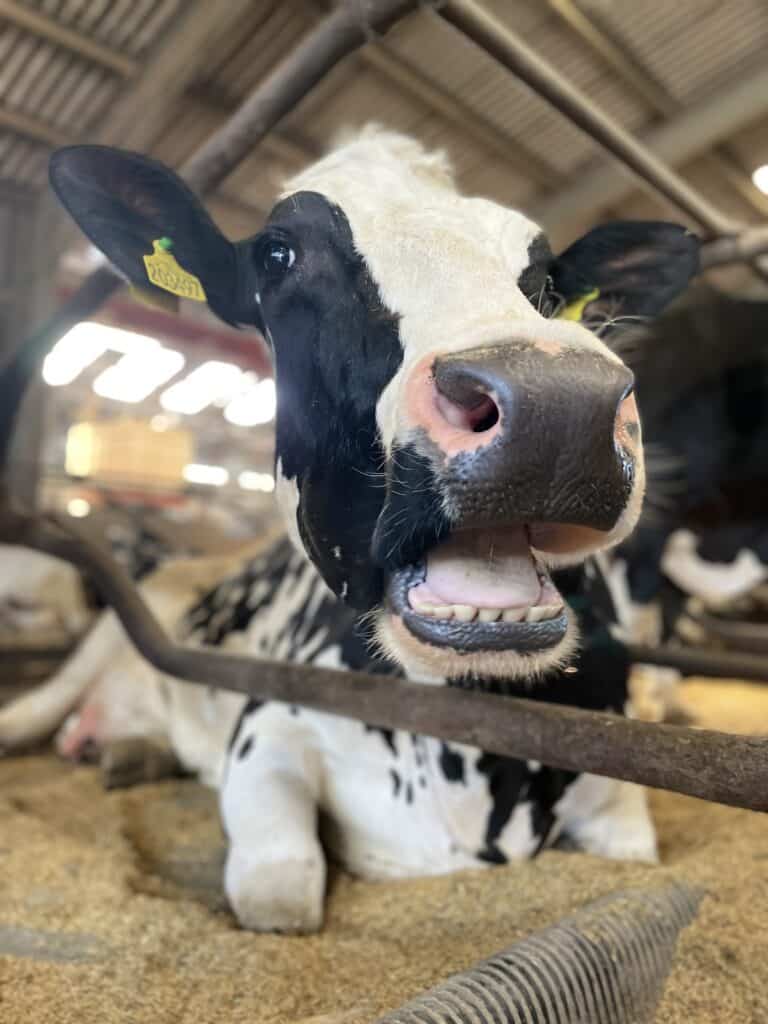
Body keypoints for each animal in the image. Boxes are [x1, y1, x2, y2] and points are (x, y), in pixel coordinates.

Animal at [2, 127, 700, 933]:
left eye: (550, 283)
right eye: (278, 255)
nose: (558, 406)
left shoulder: (622, 800)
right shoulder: (272, 726)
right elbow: (281, 891)